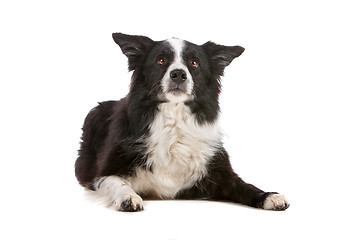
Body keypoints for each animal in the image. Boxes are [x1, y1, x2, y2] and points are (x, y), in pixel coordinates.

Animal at [75, 32, 290, 211]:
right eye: (161, 60)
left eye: (194, 63)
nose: (178, 73)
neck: (174, 118)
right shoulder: (103, 173)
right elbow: (117, 182)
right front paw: (128, 197)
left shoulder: (221, 172)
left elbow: (244, 186)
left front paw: (269, 196)